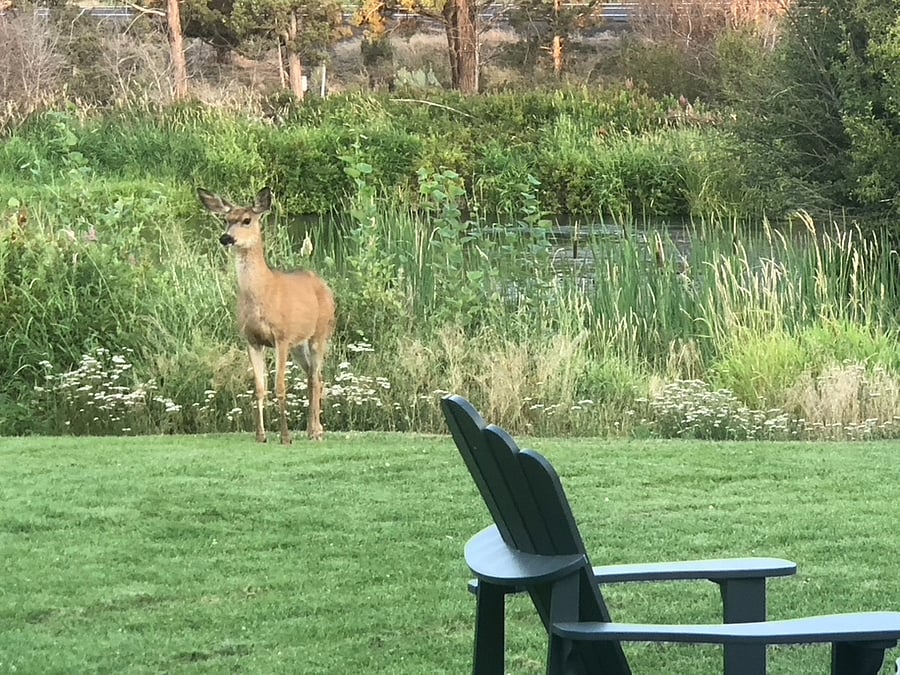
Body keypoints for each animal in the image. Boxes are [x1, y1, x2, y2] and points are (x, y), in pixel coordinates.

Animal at [197, 186, 336, 444]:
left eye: (246, 220)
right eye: (226, 220)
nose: (226, 238)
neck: (262, 294)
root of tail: (323, 284)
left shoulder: (281, 337)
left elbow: (280, 385)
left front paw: (285, 436)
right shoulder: (252, 340)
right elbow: (259, 388)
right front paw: (260, 435)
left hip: (320, 333)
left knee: (316, 376)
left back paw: (316, 431)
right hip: (298, 344)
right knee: (311, 376)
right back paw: (312, 429)